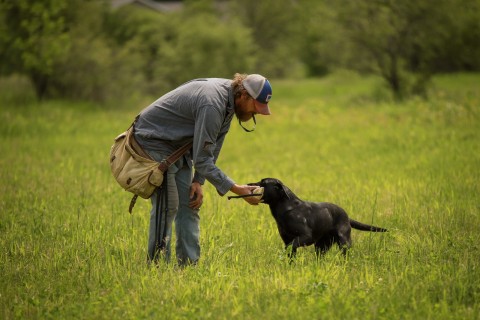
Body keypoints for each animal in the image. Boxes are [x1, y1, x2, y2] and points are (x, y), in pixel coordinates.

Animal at [248, 178, 386, 258]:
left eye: (263, 183)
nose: (248, 184)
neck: (286, 208)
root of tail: (346, 216)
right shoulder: (287, 239)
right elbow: (290, 253)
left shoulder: (305, 237)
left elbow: (291, 246)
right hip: (321, 245)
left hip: (344, 241)